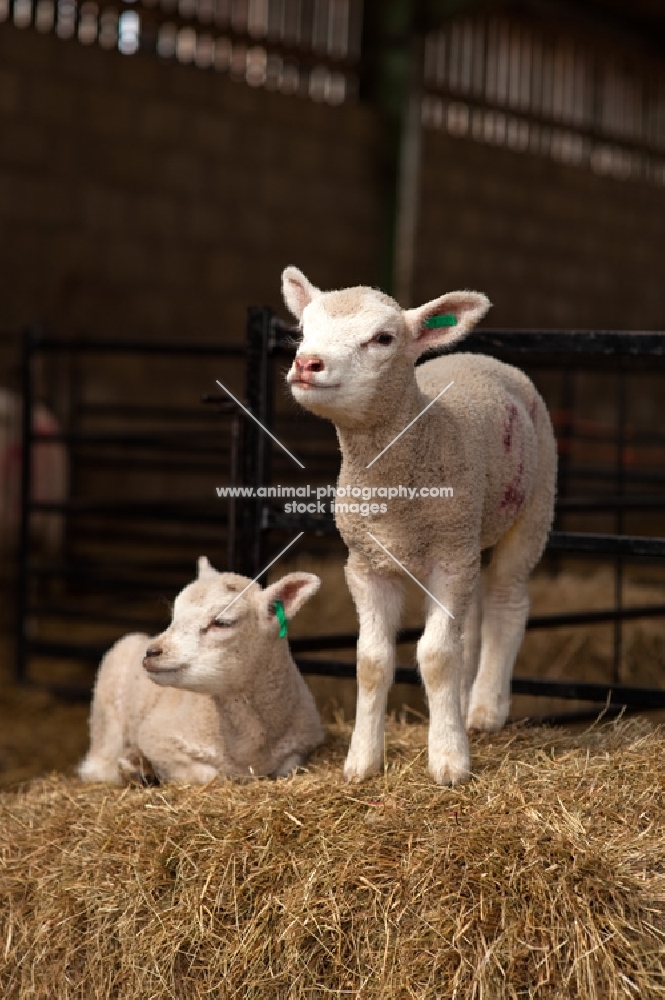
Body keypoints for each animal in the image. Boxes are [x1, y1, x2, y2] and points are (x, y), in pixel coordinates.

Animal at [78, 560, 324, 784]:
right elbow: (211, 775)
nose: (152, 652)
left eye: (222, 622)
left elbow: (287, 768)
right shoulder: (156, 737)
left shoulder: (303, 745)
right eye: (175, 616)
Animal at [280, 266, 556, 788]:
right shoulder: (366, 564)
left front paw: (449, 760)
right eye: (303, 330)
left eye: (383, 339)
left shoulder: (449, 558)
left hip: (531, 508)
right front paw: (362, 761)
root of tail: (476, 353)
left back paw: (485, 709)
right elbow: (372, 661)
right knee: (471, 623)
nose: (307, 363)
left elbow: (436, 656)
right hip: (466, 536)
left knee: (507, 601)